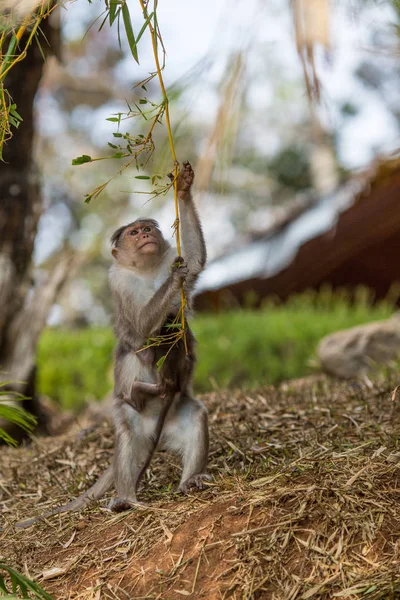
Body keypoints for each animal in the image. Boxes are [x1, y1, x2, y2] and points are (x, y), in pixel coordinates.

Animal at [10, 159, 208, 528]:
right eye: (133, 233)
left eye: (147, 227)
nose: (146, 234)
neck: (146, 270)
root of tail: (158, 431)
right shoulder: (118, 282)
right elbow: (140, 329)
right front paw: (173, 280)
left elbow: (195, 261)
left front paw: (183, 187)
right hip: (133, 415)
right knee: (129, 429)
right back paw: (126, 497)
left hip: (176, 417)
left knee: (196, 416)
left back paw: (190, 481)